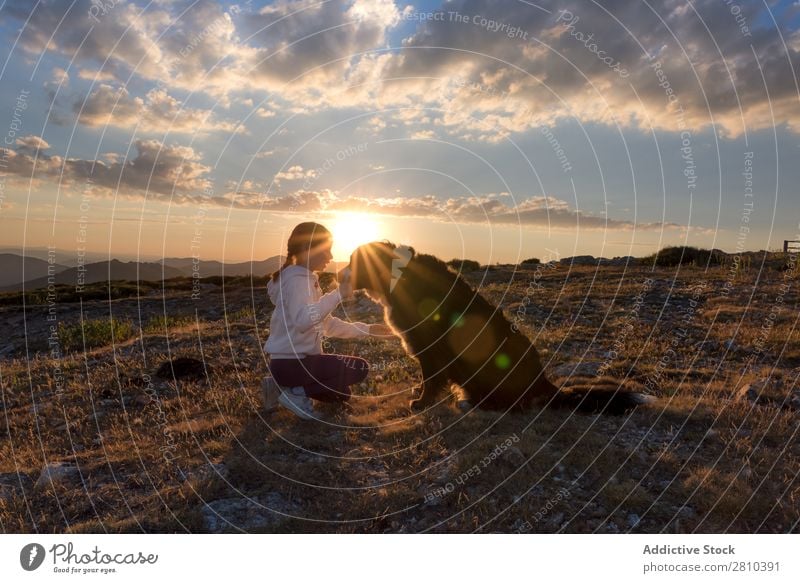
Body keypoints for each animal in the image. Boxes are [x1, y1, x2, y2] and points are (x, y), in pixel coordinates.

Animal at [340, 242, 656, 416]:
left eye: (354, 262)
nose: (337, 274)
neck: (398, 276)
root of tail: (544, 383)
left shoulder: (432, 349)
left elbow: (431, 379)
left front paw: (421, 401)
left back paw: (472, 403)